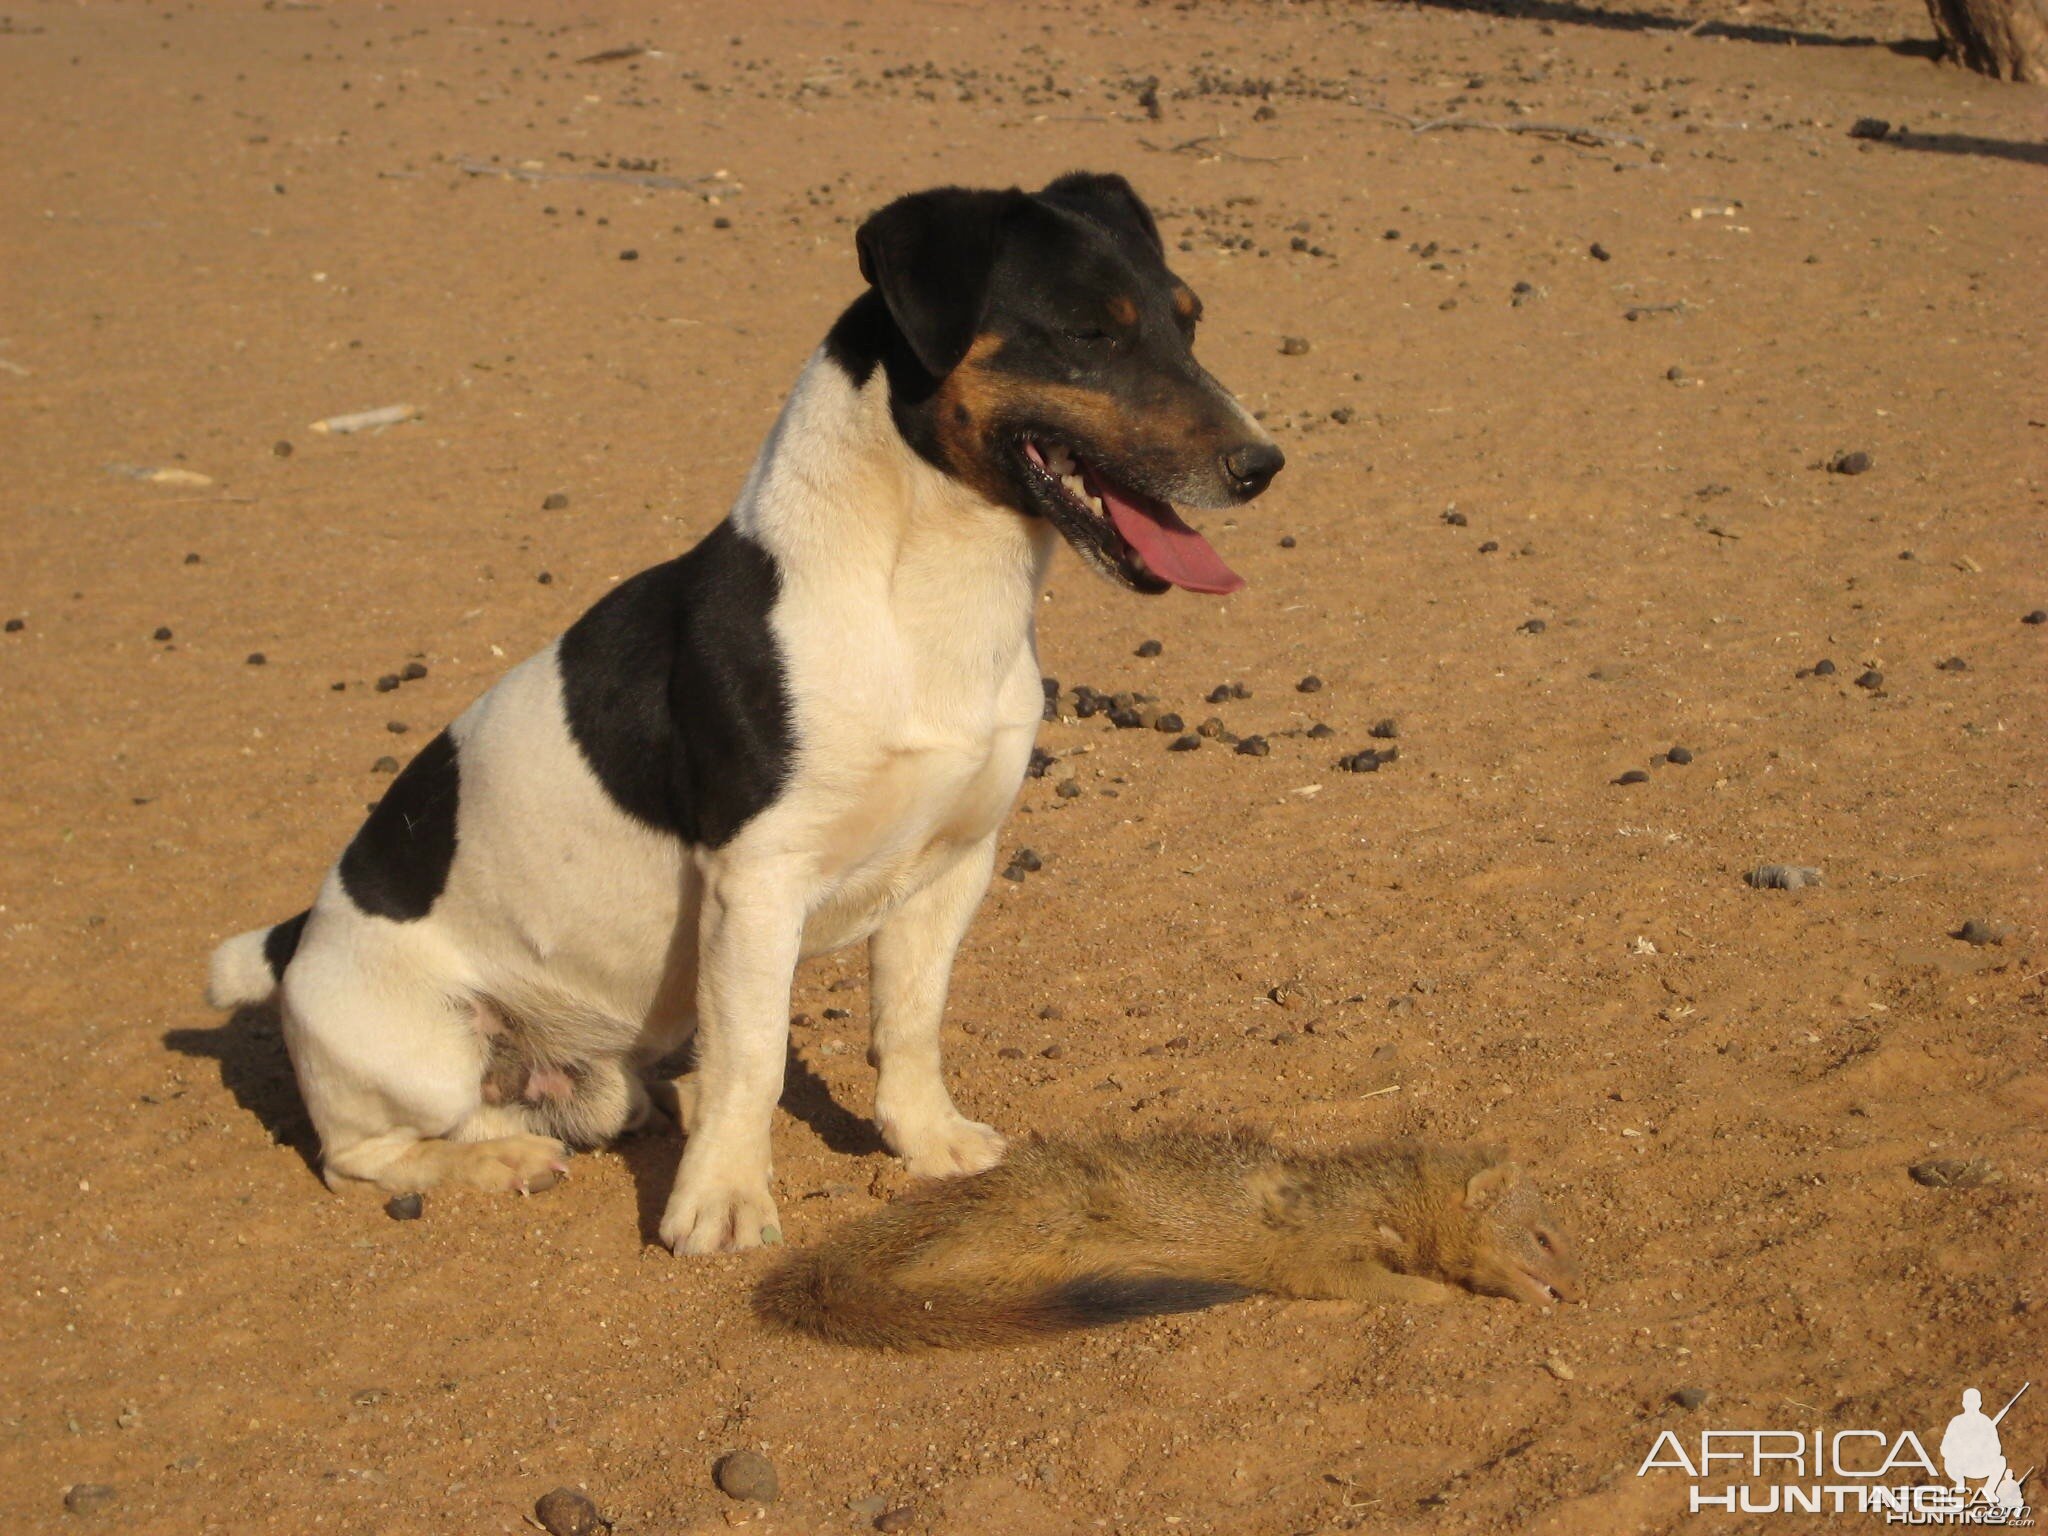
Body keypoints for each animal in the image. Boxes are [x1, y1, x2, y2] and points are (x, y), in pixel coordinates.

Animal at [216, 171, 1286, 1253]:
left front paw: (926, 1142)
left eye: (1188, 320)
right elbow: (754, 1058)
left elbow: (909, 1024)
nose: (1262, 465)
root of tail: (296, 942)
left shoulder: (953, 864)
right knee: (369, 1153)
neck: (920, 598)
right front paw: (723, 1200)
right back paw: (501, 1162)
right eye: (1087, 333)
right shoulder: (757, 884)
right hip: (419, 1051)